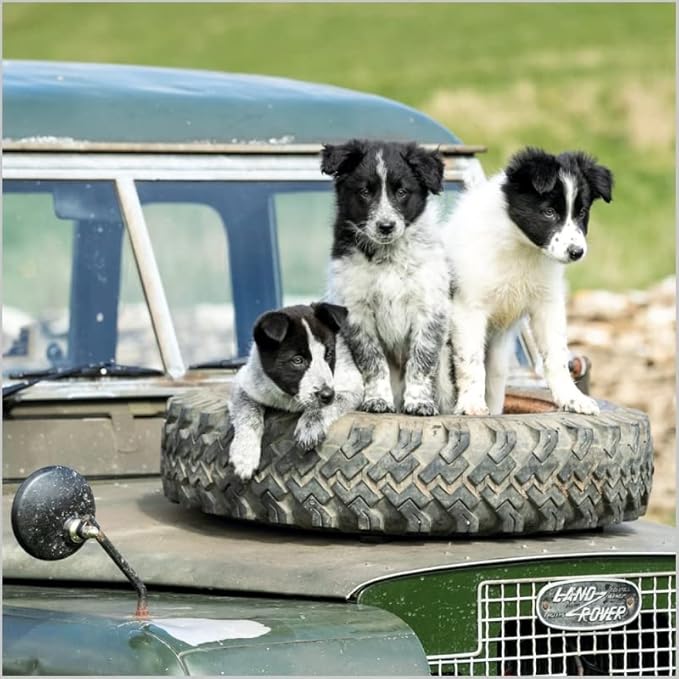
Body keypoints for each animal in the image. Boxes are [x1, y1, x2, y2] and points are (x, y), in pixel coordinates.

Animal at [228, 302, 364, 484]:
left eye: (329, 354)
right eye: (297, 360)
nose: (327, 395)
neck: (290, 398)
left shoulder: (352, 386)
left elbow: (329, 404)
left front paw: (310, 426)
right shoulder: (245, 383)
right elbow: (248, 414)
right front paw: (244, 455)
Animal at [322, 139, 454, 414]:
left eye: (402, 192)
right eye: (365, 192)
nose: (386, 227)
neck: (388, 256)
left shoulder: (429, 308)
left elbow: (421, 360)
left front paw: (419, 403)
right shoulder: (356, 312)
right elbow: (373, 361)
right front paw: (378, 400)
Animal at [444, 146, 612, 418]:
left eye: (581, 213)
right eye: (549, 212)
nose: (577, 252)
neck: (522, 249)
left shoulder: (548, 304)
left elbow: (557, 356)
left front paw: (572, 398)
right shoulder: (468, 308)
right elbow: (471, 361)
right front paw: (471, 404)